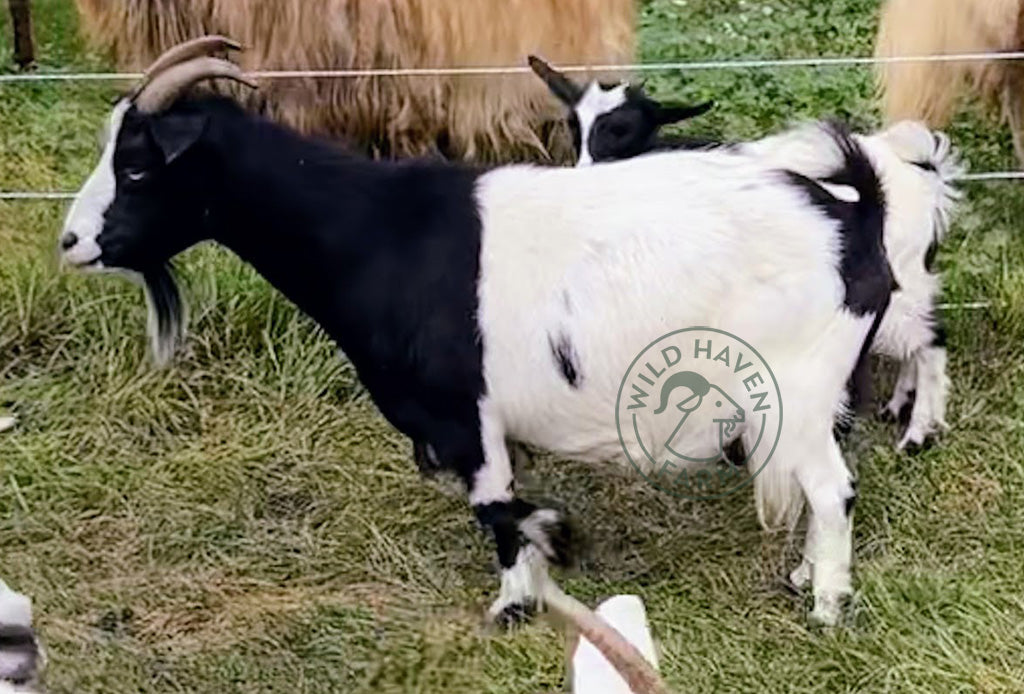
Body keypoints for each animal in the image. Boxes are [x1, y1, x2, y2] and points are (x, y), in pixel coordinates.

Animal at [61, 38, 897, 626]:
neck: (380, 234)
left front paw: (524, 589)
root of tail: (854, 214)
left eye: (138, 166)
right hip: (812, 400)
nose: (72, 242)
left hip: (794, 386)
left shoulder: (463, 413)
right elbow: (502, 507)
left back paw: (827, 606)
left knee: (831, 488)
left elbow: (495, 508)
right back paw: (805, 575)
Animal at [532, 58, 962, 450]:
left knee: (931, 339)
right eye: (574, 127)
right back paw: (900, 405)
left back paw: (918, 431)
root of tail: (922, 169)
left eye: (623, 130)